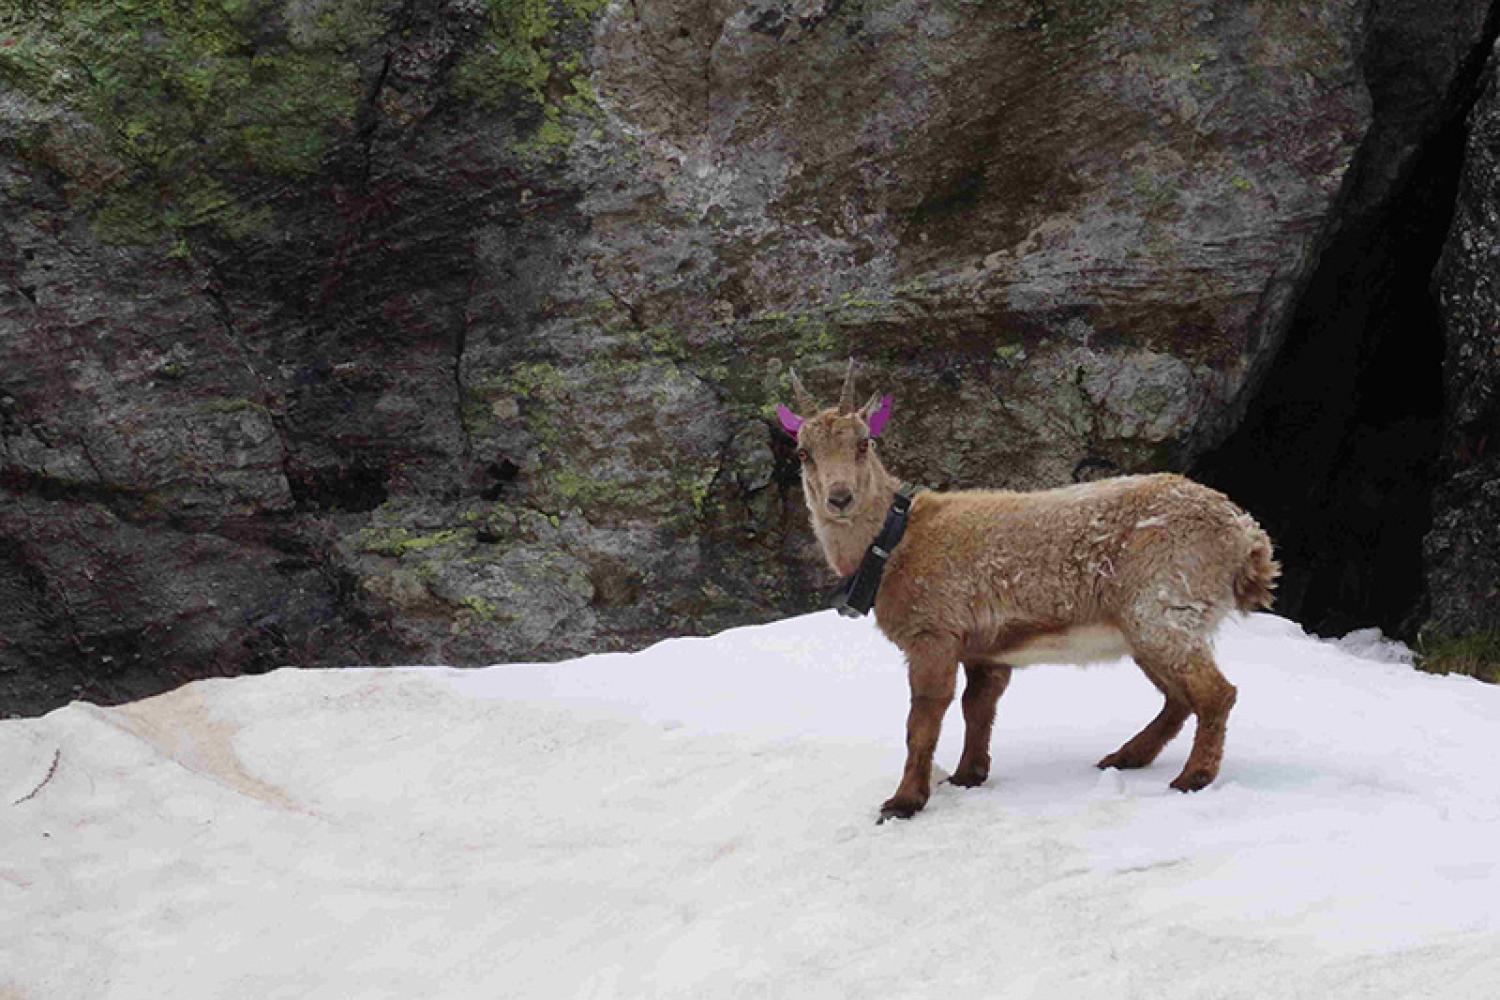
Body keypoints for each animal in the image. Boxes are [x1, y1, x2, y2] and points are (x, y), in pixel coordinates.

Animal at [780, 359, 1284, 821]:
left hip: (1163, 606)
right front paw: (968, 775)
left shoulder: (933, 634)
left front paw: (904, 801)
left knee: (1215, 693)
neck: (895, 541)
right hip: (1146, 626)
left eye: (864, 442)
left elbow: (923, 719)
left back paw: (1192, 778)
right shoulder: (984, 650)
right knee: (1179, 698)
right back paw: (1127, 756)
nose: (839, 498)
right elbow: (977, 707)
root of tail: (1246, 537)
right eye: (803, 452)